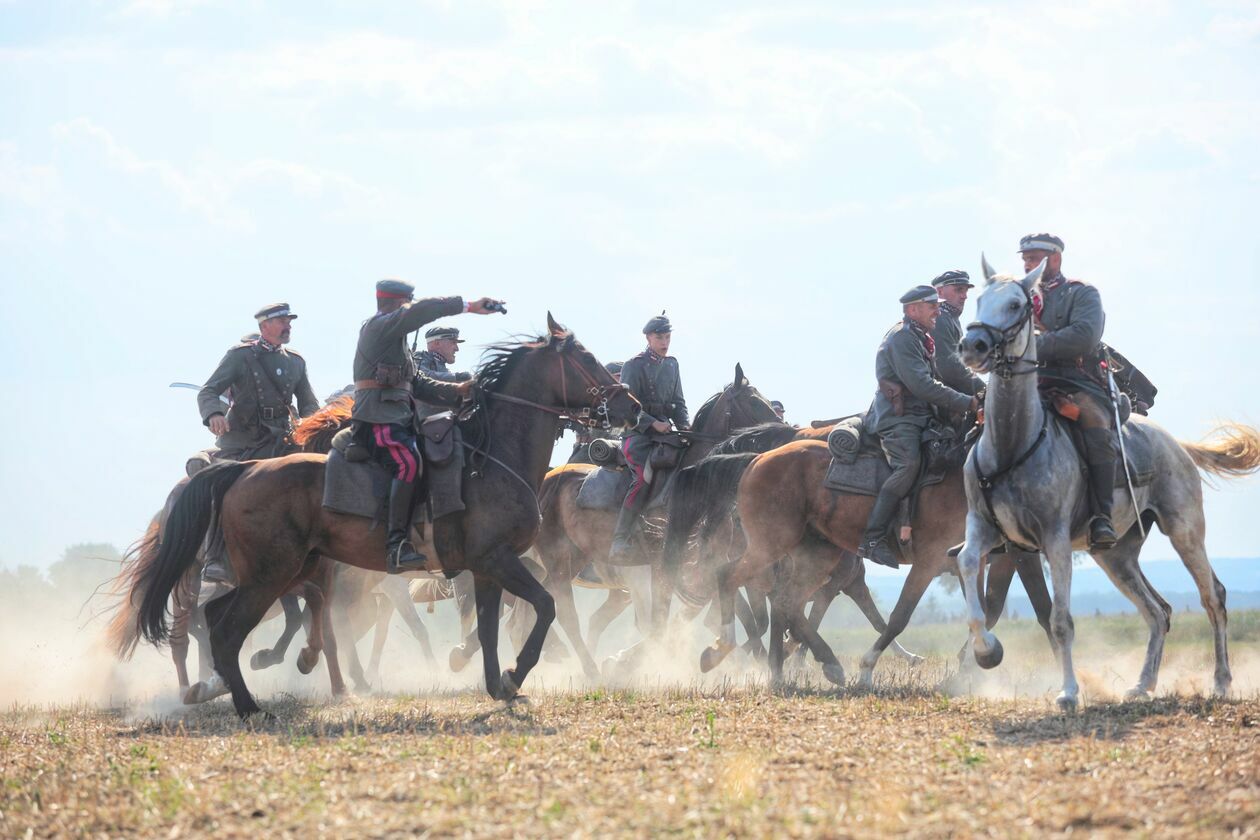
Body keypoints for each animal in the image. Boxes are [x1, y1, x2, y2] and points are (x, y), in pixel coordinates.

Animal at [113, 318, 635, 720]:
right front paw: (513, 674)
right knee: (224, 628)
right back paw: (247, 705)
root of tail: (245, 469)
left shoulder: (487, 567)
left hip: (278, 573)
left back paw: (223, 688)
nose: (630, 406)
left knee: (217, 619)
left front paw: (499, 684)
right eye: (586, 358)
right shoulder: (498, 561)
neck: (489, 458)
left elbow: (487, 629)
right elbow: (544, 607)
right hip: (270, 574)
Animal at [952, 254, 1260, 710]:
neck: (1012, 442)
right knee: (1158, 612)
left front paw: (1068, 691)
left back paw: (1221, 681)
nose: (971, 346)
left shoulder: (1055, 540)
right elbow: (968, 570)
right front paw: (987, 651)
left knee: (1213, 597)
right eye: (978, 301)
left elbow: (1060, 620)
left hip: (1185, 531)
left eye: (1014, 304)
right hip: (1115, 555)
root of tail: (1175, 443)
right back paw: (1143, 683)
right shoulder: (984, 529)